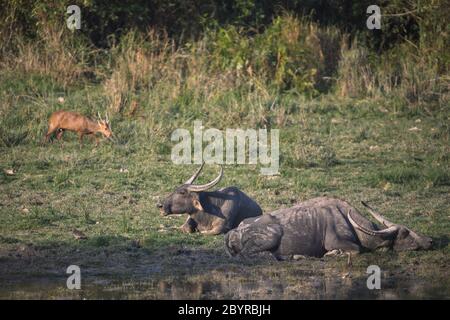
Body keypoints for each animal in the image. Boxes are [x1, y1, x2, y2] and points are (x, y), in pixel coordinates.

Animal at [225, 198, 432, 260]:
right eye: (405, 233)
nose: (430, 240)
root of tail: (234, 232)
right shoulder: (338, 242)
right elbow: (356, 250)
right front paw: (334, 254)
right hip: (273, 235)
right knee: (248, 254)